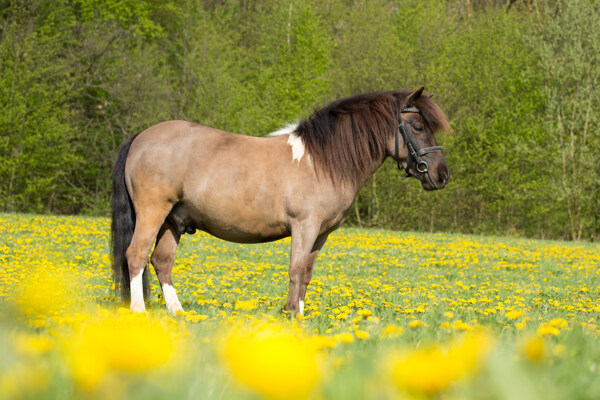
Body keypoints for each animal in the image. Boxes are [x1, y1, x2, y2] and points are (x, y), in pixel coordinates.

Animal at [111, 87, 450, 316]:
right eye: (418, 127)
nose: (442, 174)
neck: (320, 160)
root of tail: (141, 136)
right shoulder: (304, 226)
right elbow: (296, 270)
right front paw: (293, 318)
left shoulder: (321, 234)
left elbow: (307, 274)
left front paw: (296, 314)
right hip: (153, 212)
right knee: (136, 255)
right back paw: (139, 312)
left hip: (174, 220)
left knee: (161, 261)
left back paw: (178, 313)